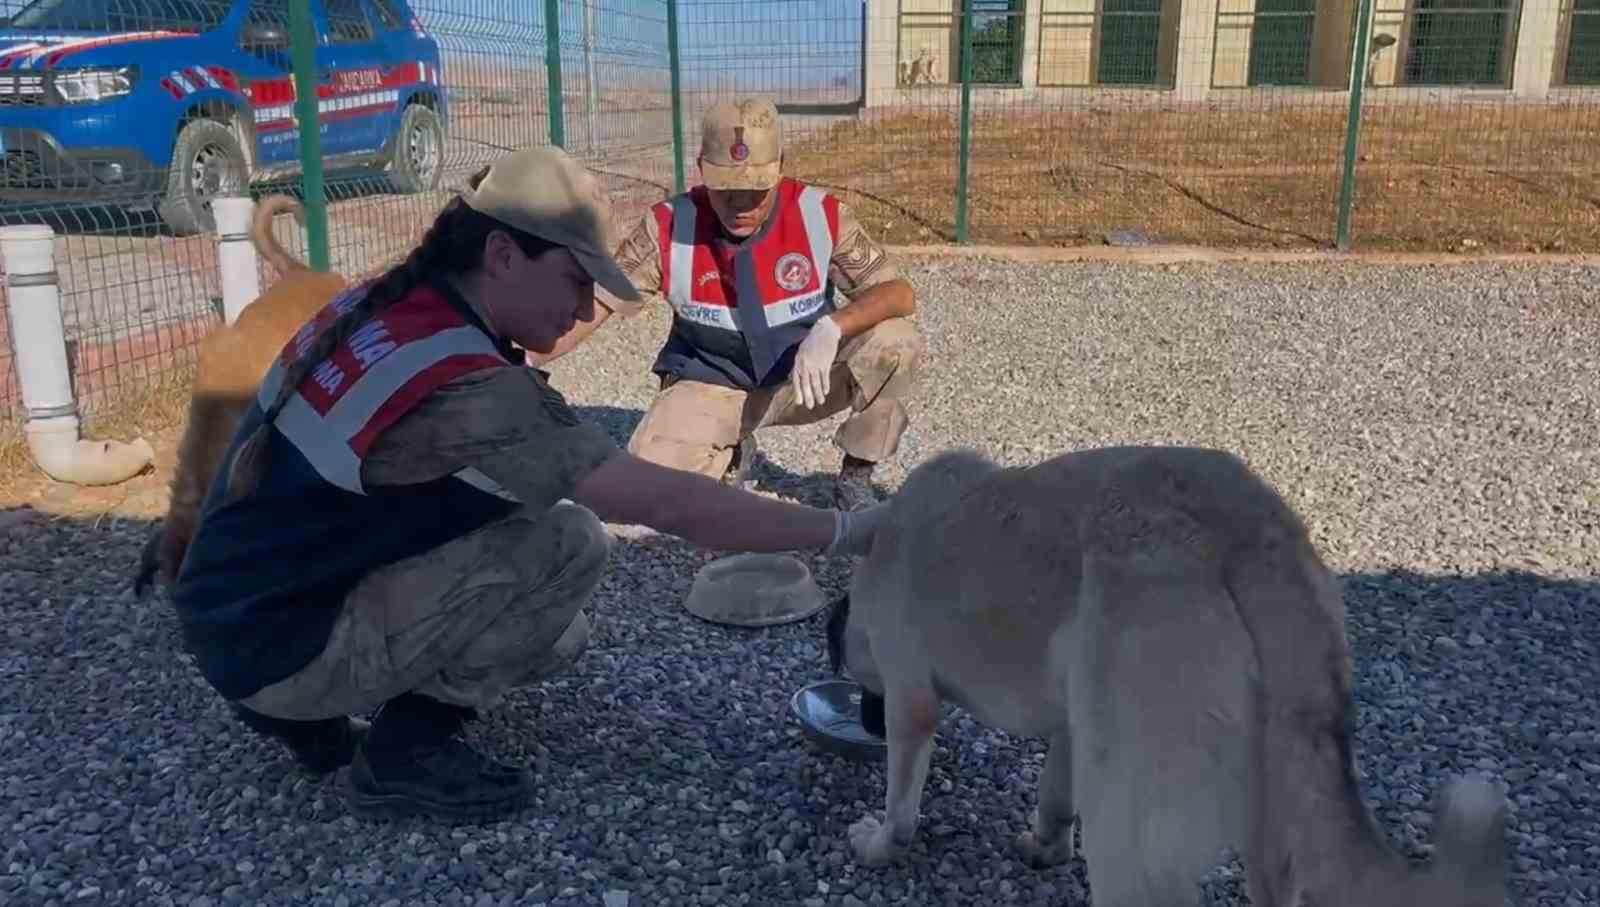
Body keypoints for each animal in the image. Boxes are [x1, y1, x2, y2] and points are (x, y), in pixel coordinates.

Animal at [825, 447, 1510, 907]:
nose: (865, 720)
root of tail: (1254, 532)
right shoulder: (1074, 727)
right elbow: (1055, 796)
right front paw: (1046, 847)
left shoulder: (910, 698)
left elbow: (902, 803)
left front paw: (880, 844)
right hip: (1274, 797)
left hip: (1130, 824)